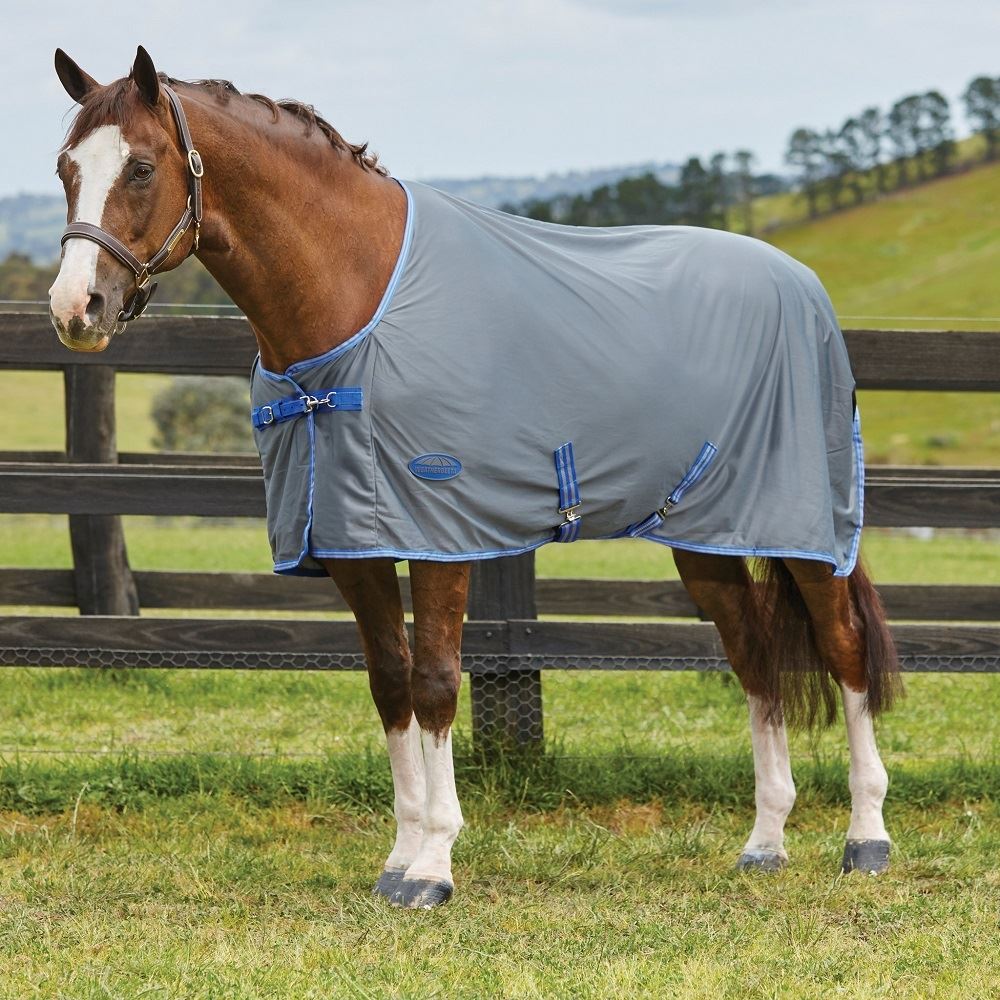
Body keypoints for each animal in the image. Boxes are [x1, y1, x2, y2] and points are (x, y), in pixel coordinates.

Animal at [48, 46, 901, 909]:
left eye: (143, 167)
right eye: (65, 168)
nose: (75, 309)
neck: (359, 300)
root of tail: (801, 283)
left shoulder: (441, 538)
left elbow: (434, 683)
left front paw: (433, 867)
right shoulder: (353, 547)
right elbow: (390, 683)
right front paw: (398, 858)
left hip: (807, 530)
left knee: (844, 648)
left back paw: (866, 837)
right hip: (706, 537)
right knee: (755, 658)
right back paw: (766, 841)